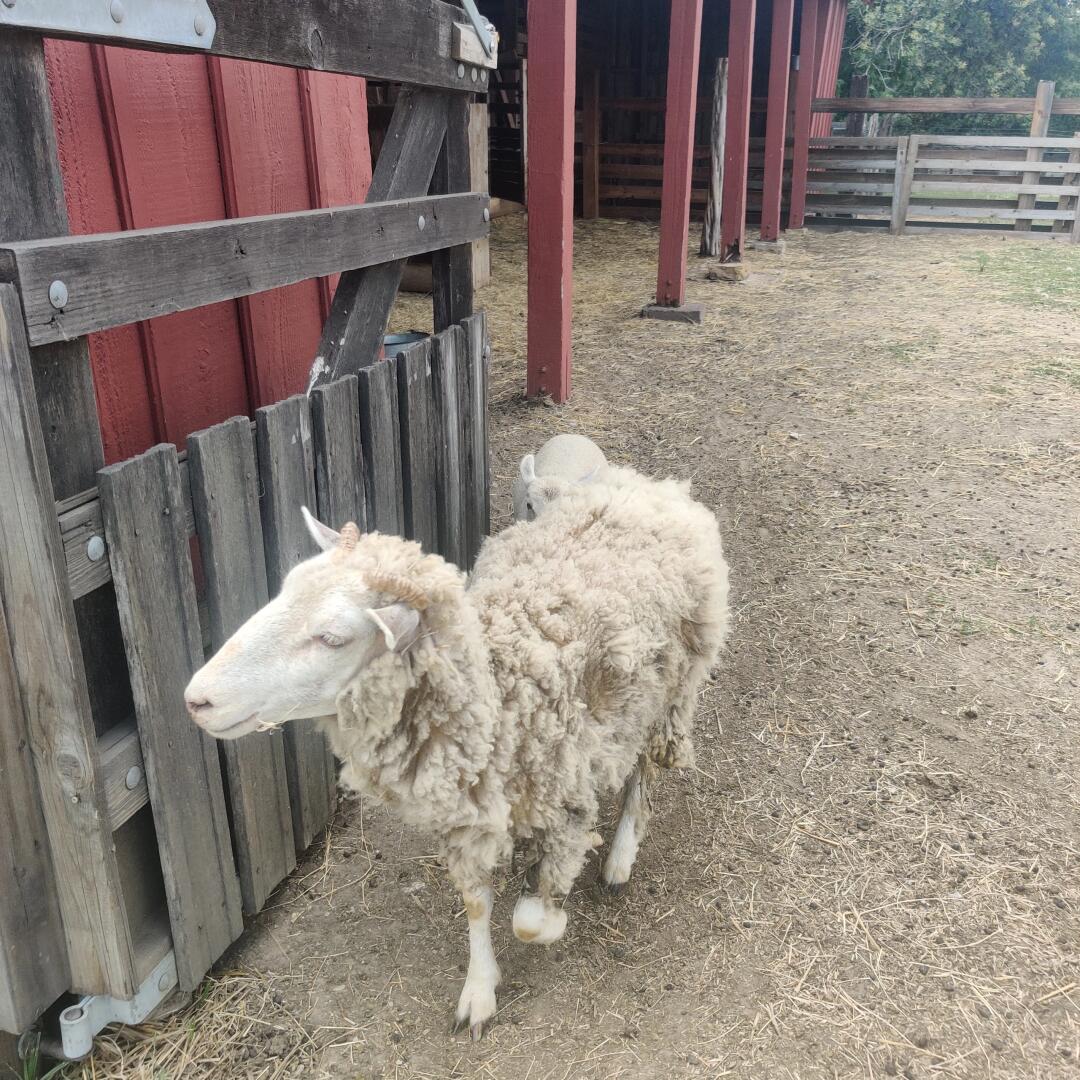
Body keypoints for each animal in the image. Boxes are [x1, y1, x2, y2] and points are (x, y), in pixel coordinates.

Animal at [184, 467, 730, 1039]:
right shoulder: (465, 818)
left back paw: (621, 854)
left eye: (332, 637)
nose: (196, 699)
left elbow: (529, 923)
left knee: (645, 769)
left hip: (671, 689)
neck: (499, 695)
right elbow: (475, 903)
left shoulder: (567, 805)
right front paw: (479, 988)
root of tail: (650, 484)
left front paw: (550, 907)